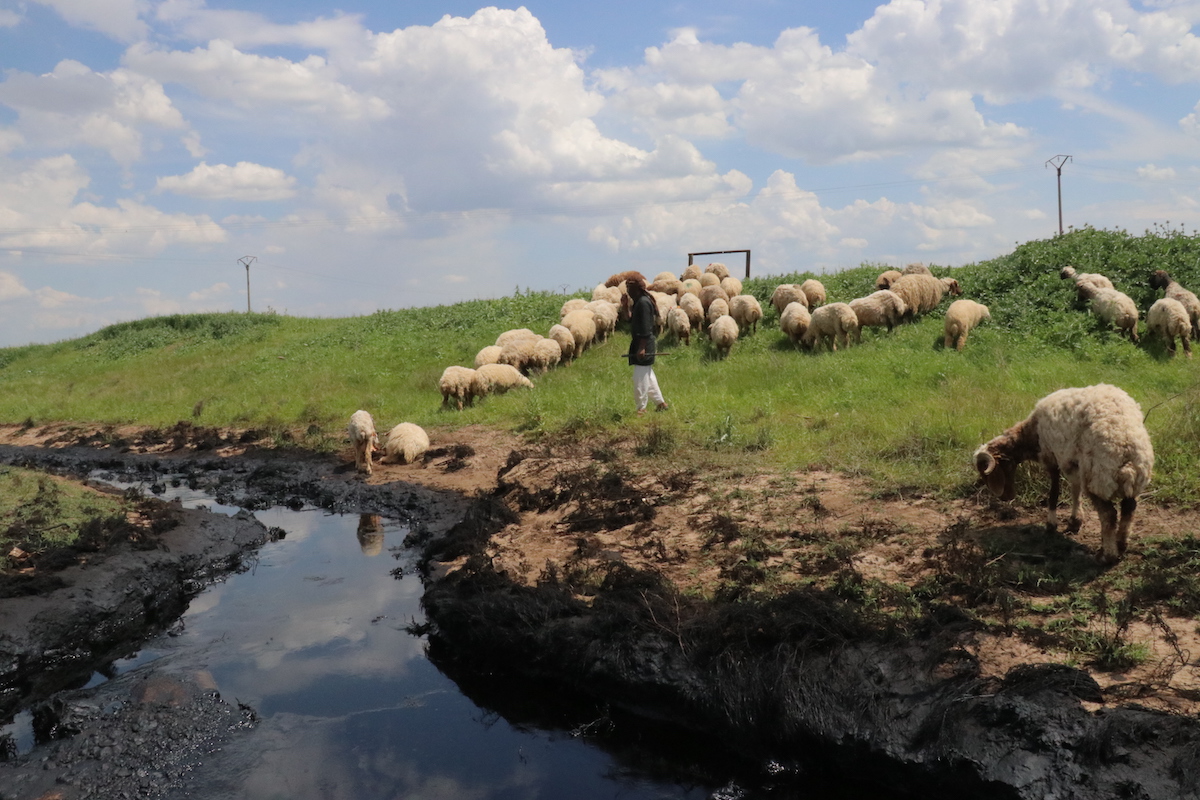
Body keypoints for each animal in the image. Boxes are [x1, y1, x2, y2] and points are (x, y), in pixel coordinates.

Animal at [974, 383, 1152, 563]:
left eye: (989, 474)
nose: (1006, 497)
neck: (1032, 434)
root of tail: (1127, 454)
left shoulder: (1051, 456)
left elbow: (1054, 492)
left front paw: (1051, 525)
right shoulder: (1073, 462)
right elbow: (1075, 490)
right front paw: (1075, 521)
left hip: (1097, 477)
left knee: (1109, 515)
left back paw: (1107, 555)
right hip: (1133, 482)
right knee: (1129, 509)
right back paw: (1121, 545)